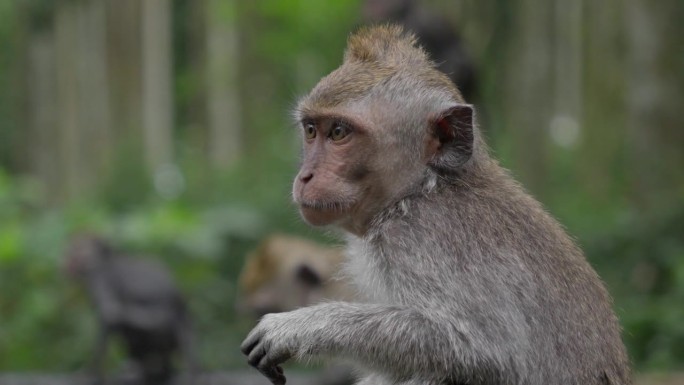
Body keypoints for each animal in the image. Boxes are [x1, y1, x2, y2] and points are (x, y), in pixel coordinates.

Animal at [240, 24, 632, 384]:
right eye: (311, 130)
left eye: (338, 132)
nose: (305, 176)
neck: (423, 189)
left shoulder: (422, 238)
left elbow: (485, 351)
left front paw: (297, 327)